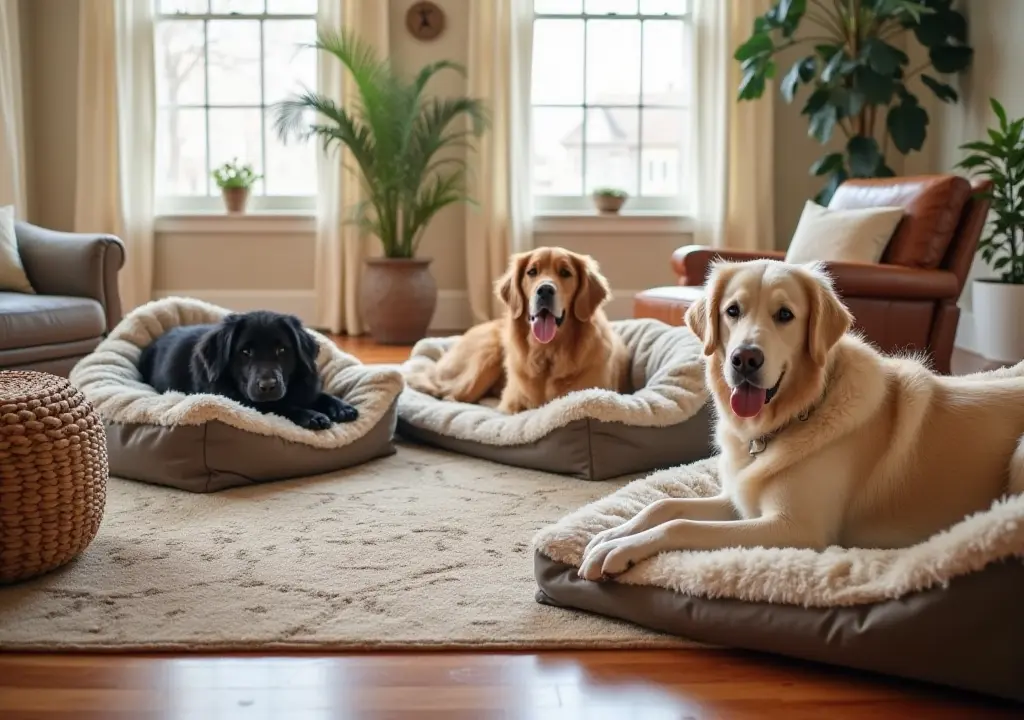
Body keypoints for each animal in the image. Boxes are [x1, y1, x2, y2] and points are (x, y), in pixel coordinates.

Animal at [138, 309, 358, 430]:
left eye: (281, 350)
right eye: (245, 352)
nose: (268, 386)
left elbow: (320, 395)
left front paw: (341, 406)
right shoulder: (245, 401)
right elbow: (281, 407)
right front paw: (312, 415)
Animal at [581, 259, 1024, 581]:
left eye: (784, 315)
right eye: (732, 311)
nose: (744, 359)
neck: (790, 417)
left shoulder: (794, 528)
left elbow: (681, 526)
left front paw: (619, 549)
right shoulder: (741, 501)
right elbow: (664, 505)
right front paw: (611, 534)